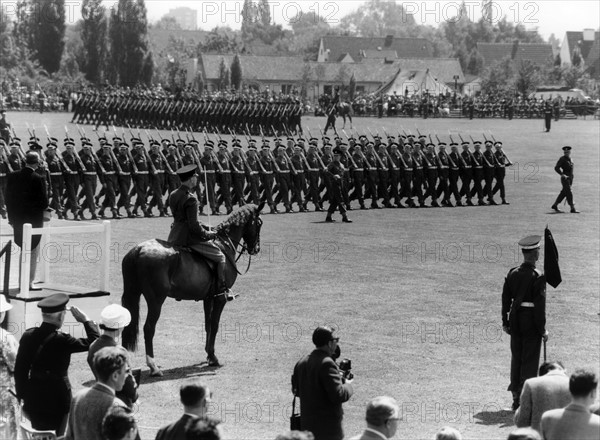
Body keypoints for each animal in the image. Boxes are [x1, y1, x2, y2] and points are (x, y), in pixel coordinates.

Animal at [120, 204, 262, 374]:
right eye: (259, 224)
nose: (256, 248)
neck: (223, 245)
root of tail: (138, 249)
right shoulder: (219, 299)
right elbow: (215, 325)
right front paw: (213, 357)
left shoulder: (208, 298)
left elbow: (208, 325)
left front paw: (209, 355)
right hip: (156, 301)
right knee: (149, 328)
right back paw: (153, 366)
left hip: (133, 293)